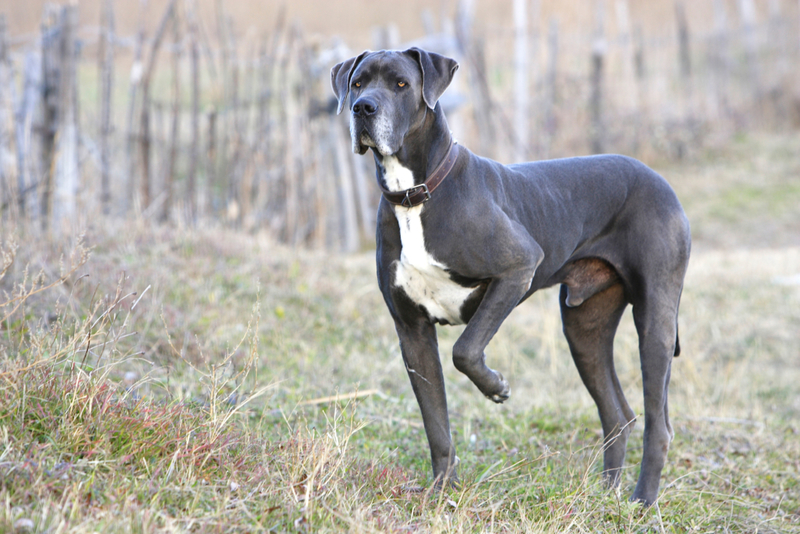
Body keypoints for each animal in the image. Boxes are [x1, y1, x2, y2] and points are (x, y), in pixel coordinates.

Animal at [328, 46, 692, 506]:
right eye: (358, 83)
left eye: (400, 84)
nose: (362, 107)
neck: (416, 194)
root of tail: (661, 180)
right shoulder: (412, 332)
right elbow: (436, 423)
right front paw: (442, 492)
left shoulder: (518, 267)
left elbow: (465, 350)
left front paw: (496, 387)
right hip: (584, 329)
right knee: (618, 414)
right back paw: (605, 495)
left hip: (656, 319)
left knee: (657, 423)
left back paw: (642, 500)